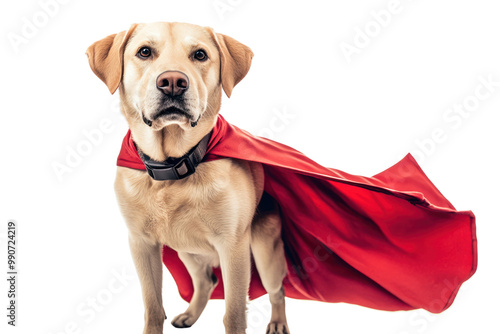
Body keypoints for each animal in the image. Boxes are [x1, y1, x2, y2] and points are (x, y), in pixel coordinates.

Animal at [86, 22, 290, 334]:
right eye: (144, 52)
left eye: (200, 54)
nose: (172, 82)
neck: (172, 167)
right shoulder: (142, 244)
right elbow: (153, 308)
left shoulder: (234, 248)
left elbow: (234, 315)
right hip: (187, 252)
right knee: (207, 280)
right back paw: (190, 315)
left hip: (266, 254)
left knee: (277, 291)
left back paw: (278, 322)